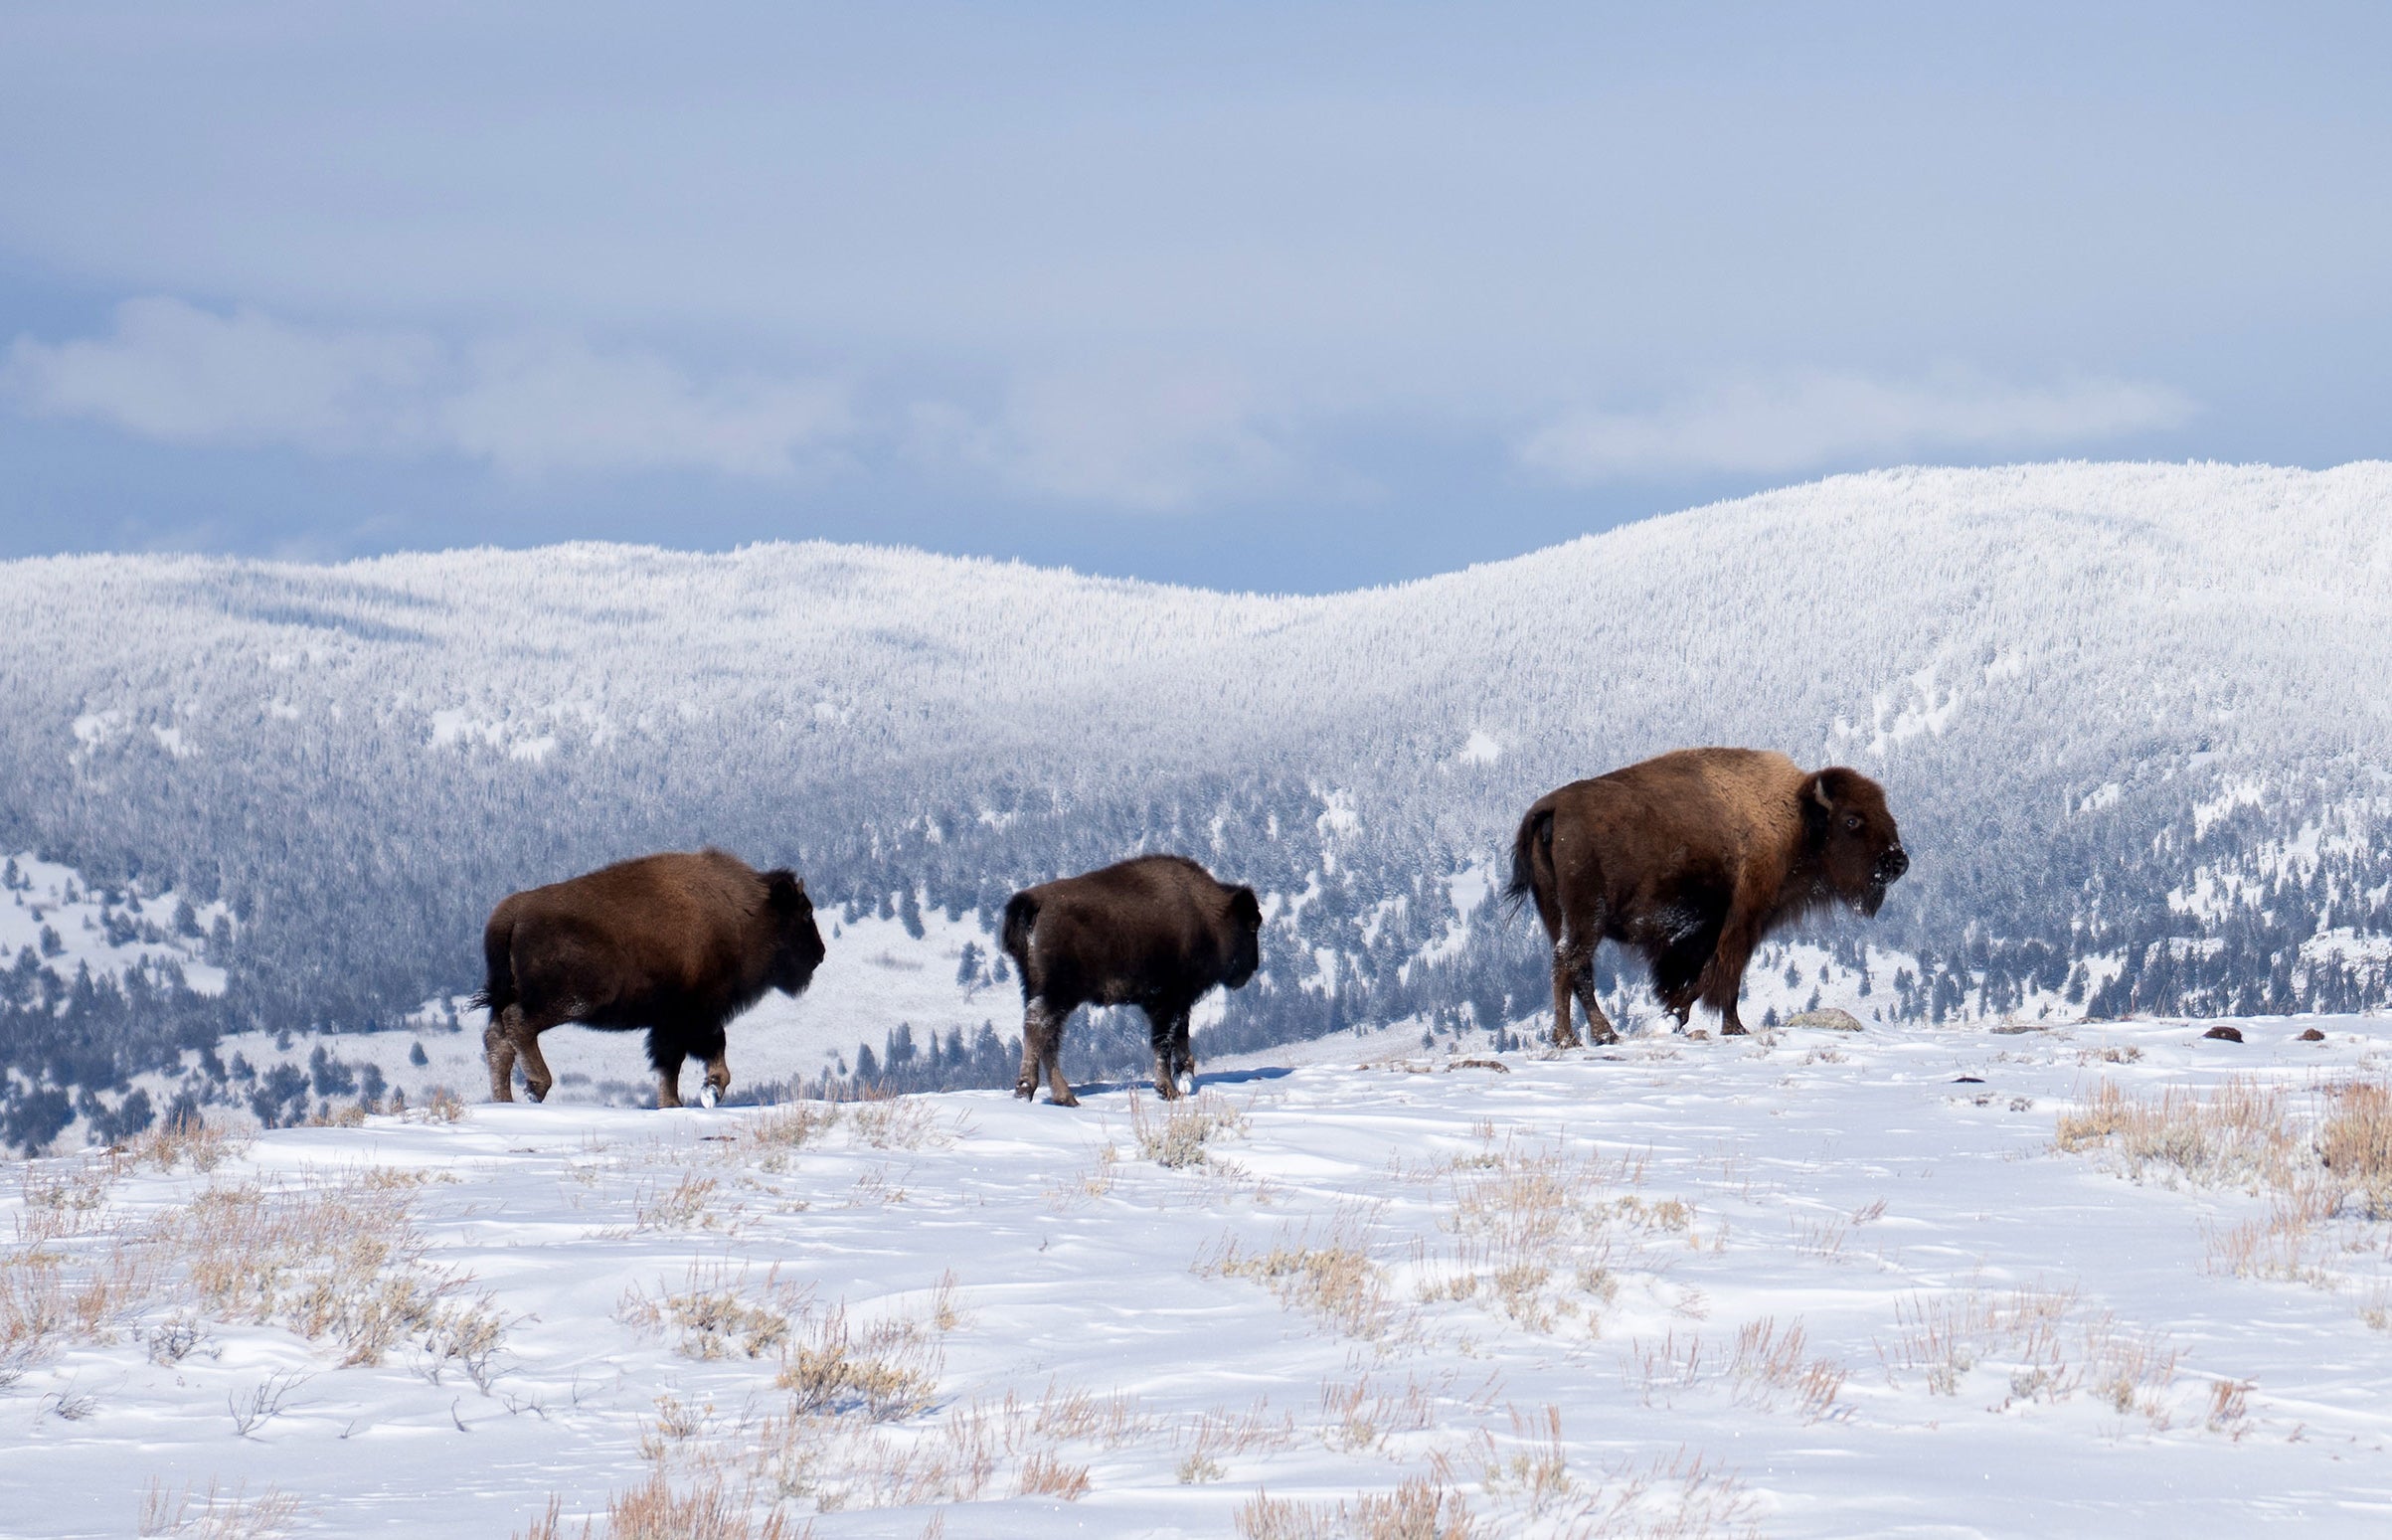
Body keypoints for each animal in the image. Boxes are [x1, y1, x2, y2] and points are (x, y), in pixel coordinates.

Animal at [473, 849, 827, 1108]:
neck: (746, 914)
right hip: (572, 999)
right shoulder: (692, 1014)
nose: (820, 953)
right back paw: (537, 1086)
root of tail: (512, 913)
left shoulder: (677, 1019)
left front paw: (687, 1099)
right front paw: (702, 1093)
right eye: (805, 913)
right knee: (518, 1024)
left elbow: (679, 1059)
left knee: (498, 1040)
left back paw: (505, 1101)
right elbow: (693, 1053)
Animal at [1001, 854, 1263, 1106]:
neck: (1206, 914)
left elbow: (1181, 1037)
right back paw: (1031, 1090)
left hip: (1040, 990)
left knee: (1049, 1039)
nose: (1253, 966)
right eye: (1251, 926)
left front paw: (1184, 1080)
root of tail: (1034, 903)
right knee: (1039, 1029)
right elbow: (1164, 1043)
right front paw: (1168, 1089)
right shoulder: (1167, 1001)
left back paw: (1063, 1097)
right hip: (1058, 992)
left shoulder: (1179, 1003)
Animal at [1506, 748, 1907, 1043]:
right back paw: (1569, 1038)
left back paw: (1605, 1036)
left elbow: (1706, 975)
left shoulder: (1707, 932)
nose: (1898, 862)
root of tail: (1553, 807)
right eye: (1852, 820)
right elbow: (1723, 977)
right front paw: (1712, 1024)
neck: (1794, 817)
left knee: (1578, 970)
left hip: (1558, 914)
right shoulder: (1743, 920)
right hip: (1587, 915)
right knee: (1568, 963)